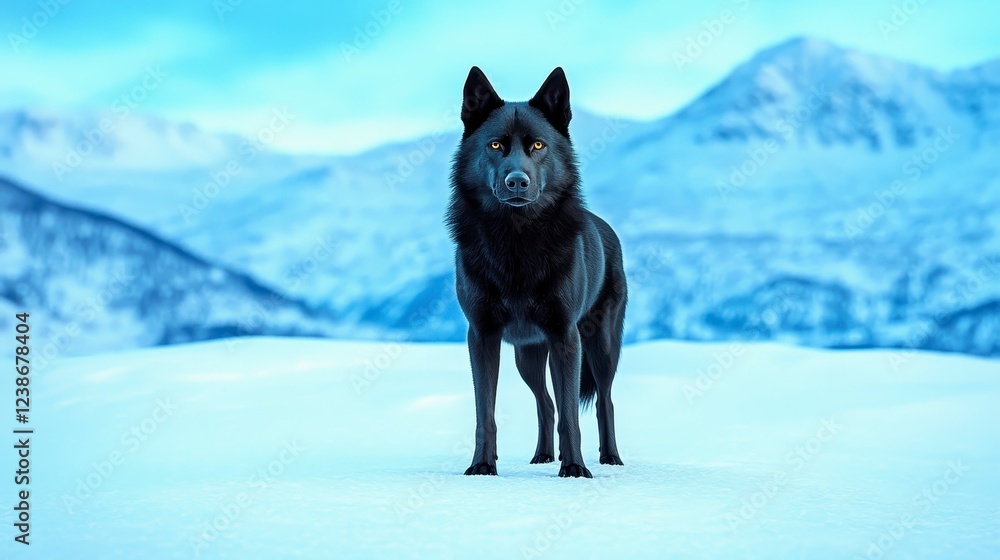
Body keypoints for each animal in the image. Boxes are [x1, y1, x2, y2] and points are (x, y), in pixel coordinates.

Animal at [446, 66, 627, 478]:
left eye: (539, 146)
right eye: (496, 145)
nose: (517, 181)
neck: (516, 241)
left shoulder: (565, 336)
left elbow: (572, 415)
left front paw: (575, 469)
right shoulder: (481, 335)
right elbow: (485, 412)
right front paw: (482, 466)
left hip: (601, 347)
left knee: (602, 401)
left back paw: (610, 458)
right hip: (526, 355)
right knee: (545, 402)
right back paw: (543, 455)